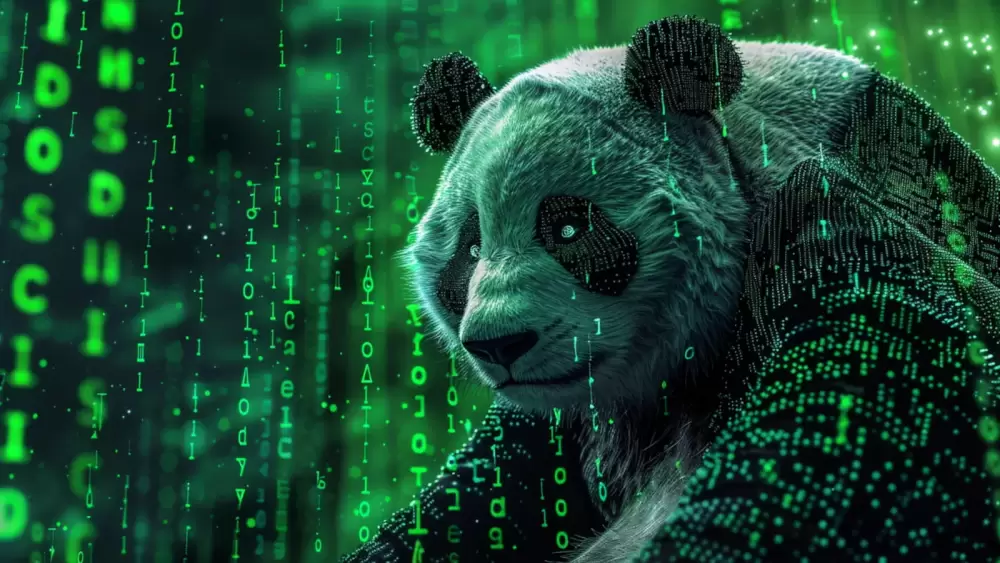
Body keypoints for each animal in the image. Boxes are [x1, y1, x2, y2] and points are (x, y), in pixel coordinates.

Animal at [343, 15, 1000, 563]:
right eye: (471, 250)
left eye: (569, 227)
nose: (499, 345)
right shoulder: (556, 429)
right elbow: (467, 507)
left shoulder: (840, 225)